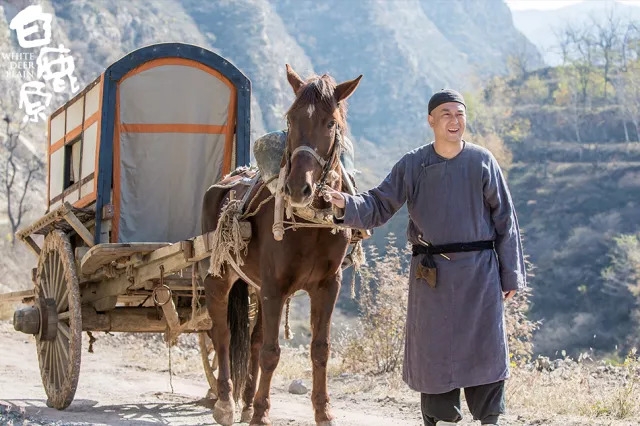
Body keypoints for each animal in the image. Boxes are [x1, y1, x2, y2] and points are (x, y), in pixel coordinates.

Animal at [201, 64, 360, 426]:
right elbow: (271, 353)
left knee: (254, 340)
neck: (311, 222)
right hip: (219, 277)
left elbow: (319, 349)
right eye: (290, 119)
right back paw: (226, 402)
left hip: (258, 287)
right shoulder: (275, 286)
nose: (298, 188)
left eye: (331, 123)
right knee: (222, 335)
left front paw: (323, 412)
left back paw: (246, 403)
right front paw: (261, 414)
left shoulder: (327, 285)